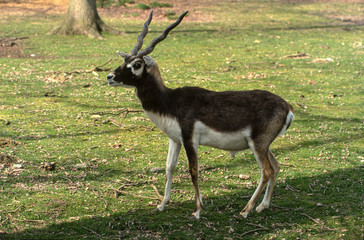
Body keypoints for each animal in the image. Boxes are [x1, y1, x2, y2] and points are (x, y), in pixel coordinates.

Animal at [106, 11, 294, 219]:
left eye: (137, 64)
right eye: (124, 61)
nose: (110, 77)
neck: (169, 101)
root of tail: (287, 107)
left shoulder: (190, 140)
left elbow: (193, 171)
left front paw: (197, 210)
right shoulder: (175, 140)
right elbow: (169, 168)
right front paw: (162, 204)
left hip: (258, 144)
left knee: (267, 171)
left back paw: (246, 210)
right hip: (263, 145)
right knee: (276, 166)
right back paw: (262, 206)